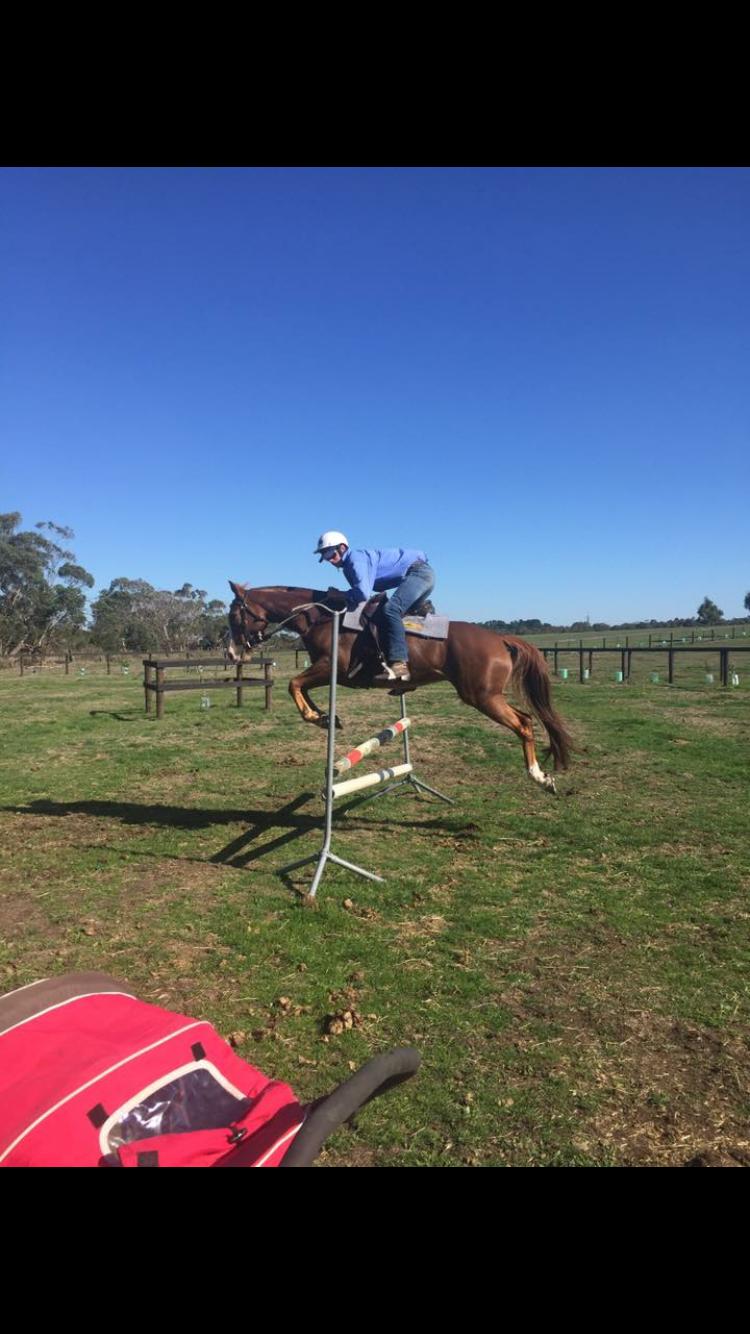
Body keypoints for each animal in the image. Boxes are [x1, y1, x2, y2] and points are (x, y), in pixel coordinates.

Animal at [227, 582, 573, 793]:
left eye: (234, 615)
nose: (231, 654)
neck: (321, 617)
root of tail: (500, 638)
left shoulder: (330, 669)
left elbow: (293, 684)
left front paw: (318, 718)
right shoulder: (325, 671)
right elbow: (300, 688)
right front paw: (325, 717)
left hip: (482, 697)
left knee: (524, 724)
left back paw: (539, 777)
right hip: (487, 696)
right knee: (526, 719)